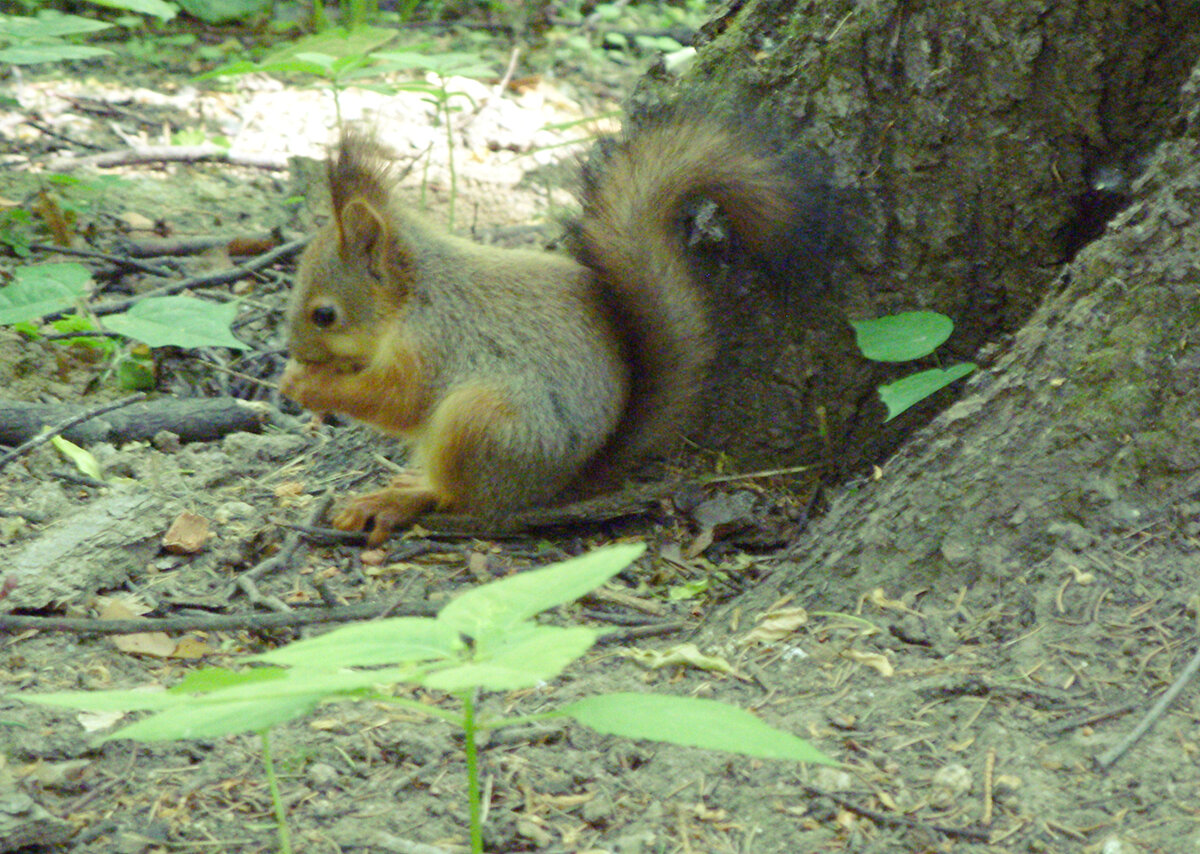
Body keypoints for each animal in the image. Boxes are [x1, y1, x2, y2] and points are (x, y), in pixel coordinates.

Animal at [279, 113, 801, 544]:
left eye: (324, 315)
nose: (297, 351)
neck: (416, 294)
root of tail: (562, 482)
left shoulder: (433, 344)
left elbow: (397, 400)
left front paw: (307, 385)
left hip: (479, 421)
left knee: (458, 499)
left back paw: (396, 501)